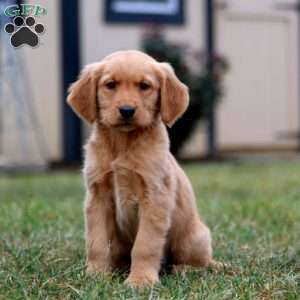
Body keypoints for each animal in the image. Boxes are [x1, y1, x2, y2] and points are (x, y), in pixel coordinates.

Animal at [67, 50, 217, 288]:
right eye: (110, 85)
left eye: (144, 86)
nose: (127, 110)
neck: (122, 144)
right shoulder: (97, 197)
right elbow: (97, 243)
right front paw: (97, 275)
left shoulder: (154, 197)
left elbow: (145, 245)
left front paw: (140, 280)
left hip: (194, 238)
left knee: (199, 263)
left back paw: (183, 269)